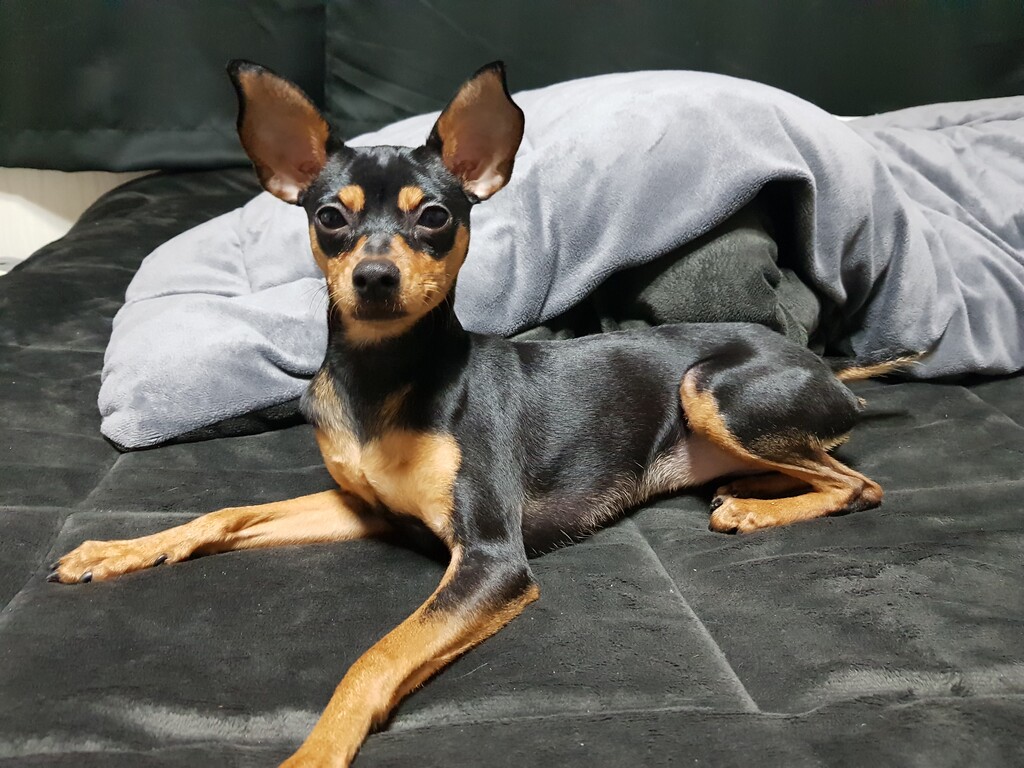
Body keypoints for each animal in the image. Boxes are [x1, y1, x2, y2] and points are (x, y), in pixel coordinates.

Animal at [50, 61, 906, 767]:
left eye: (434, 215)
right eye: (329, 217)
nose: (373, 277)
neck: (382, 381)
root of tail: (823, 364)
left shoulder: (493, 560)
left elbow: (377, 656)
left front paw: (313, 753)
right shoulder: (364, 509)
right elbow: (224, 513)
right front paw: (116, 550)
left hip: (708, 389)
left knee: (859, 485)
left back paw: (756, 511)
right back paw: (752, 494)